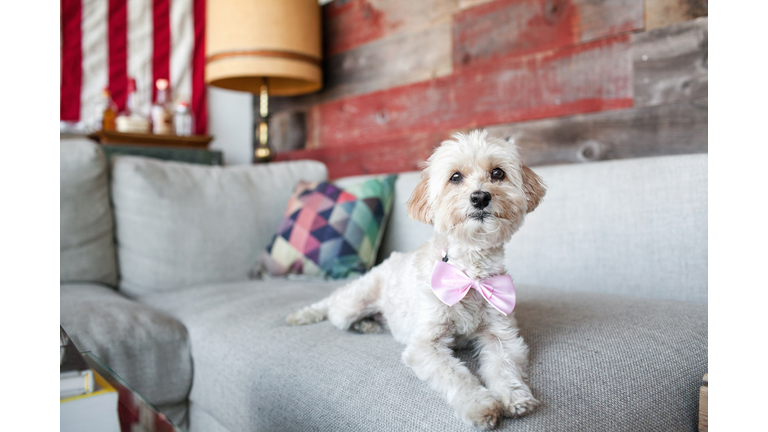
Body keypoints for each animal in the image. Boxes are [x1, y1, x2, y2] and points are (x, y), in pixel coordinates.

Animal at [286, 130, 544, 430]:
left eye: (498, 173)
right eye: (455, 177)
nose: (480, 197)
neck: (468, 271)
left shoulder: (501, 334)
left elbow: (504, 366)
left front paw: (515, 397)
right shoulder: (425, 345)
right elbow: (456, 376)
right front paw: (480, 405)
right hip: (352, 304)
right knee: (333, 309)